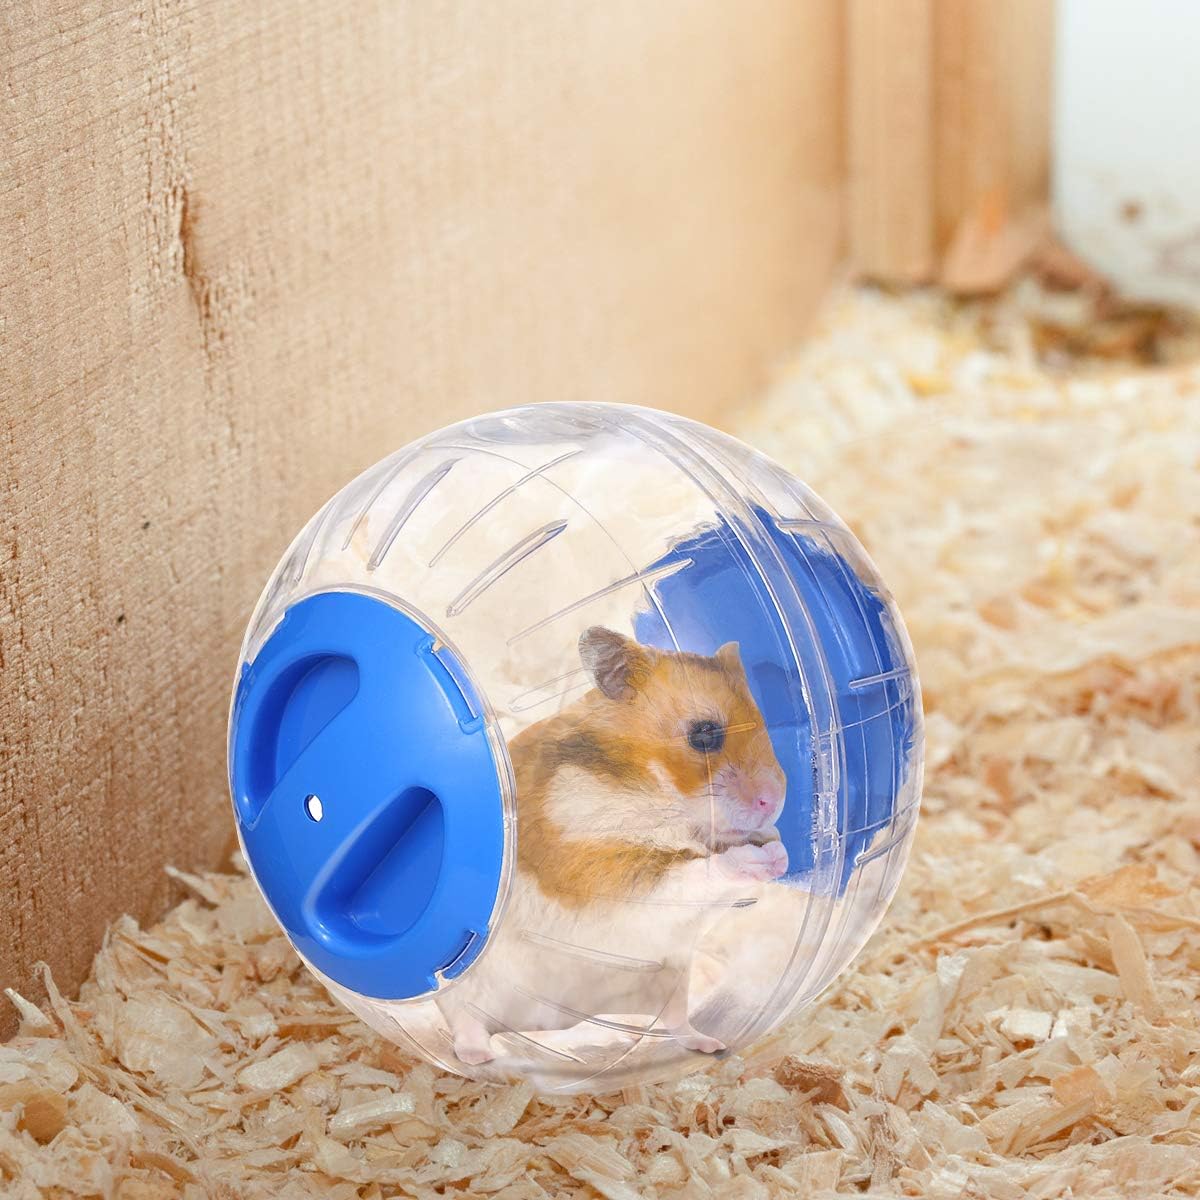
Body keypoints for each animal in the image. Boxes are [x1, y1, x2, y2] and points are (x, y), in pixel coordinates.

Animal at [437, 626, 788, 1066]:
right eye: (705, 734)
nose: (775, 801)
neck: (653, 790)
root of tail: (540, 1022)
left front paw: (778, 852)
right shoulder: (601, 871)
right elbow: (694, 872)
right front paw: (757, 856)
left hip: (669, 977)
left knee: (674, 1021)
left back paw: (705, 1042)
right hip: (464, 988)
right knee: (467, 1022)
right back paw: (480, 1057)